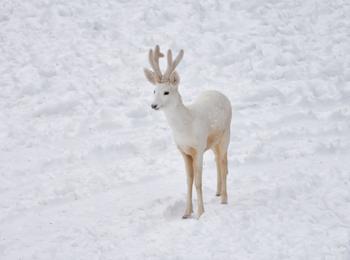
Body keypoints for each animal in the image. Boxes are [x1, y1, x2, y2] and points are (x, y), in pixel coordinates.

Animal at [144, 45, 231, 218]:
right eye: (154, 91)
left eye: (166, 92)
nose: (153, 105)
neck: (185, 128)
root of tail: (222, 94)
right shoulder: (184, 151)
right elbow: (188, 180)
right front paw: (186, 212)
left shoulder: (198, 148)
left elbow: (198, 181)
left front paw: (200, 213)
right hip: (213, 142)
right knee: (217, 160)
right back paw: (218, 192)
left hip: (226, 134)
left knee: (224, 163)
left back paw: (224, 199)